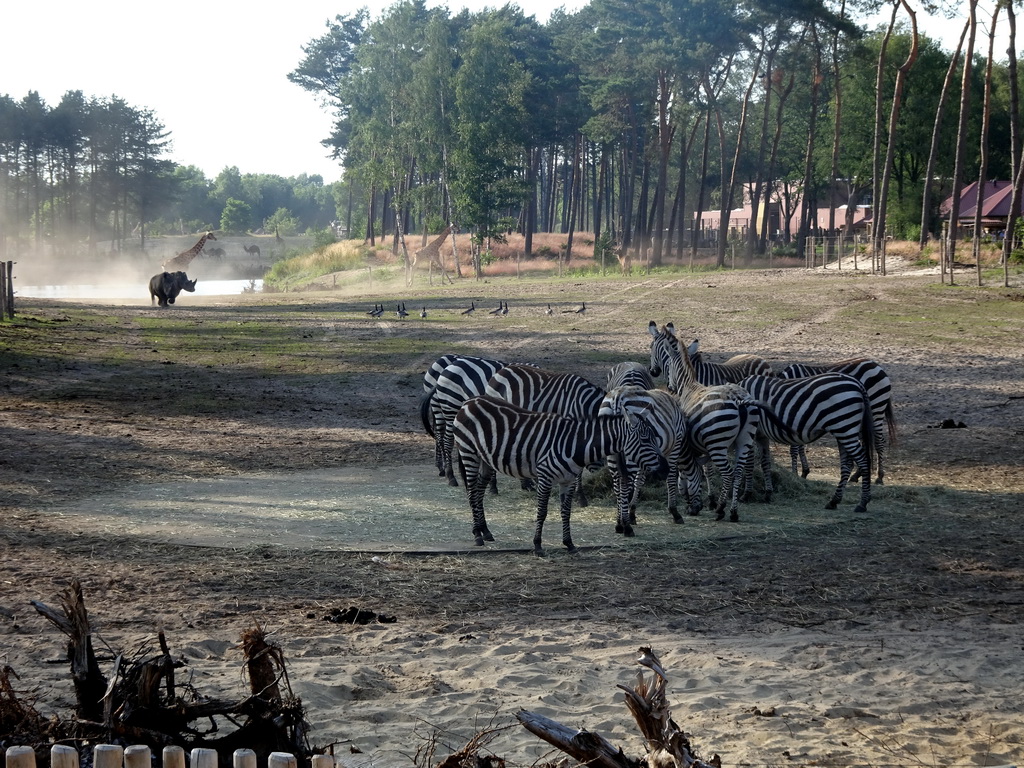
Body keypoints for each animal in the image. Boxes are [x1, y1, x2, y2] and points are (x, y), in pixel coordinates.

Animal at [452, 397, 667, 552]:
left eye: (654, 437)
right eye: (645, 439)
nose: (665, 468)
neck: (574, 445)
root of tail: (469, 401)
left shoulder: (568, 481)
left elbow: (566, 512)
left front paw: (569, 543)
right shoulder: (545, 477)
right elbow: (542, 511)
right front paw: (537, 544)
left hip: (486, 459)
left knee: (479, 493)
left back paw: (485, 531)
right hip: (468, 452)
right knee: (471, 493)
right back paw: (477, 535)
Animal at [598, 385, 704, 536]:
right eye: (700, 481)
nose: (699, 508)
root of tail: (617, 396)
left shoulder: (645, 457)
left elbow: (639, 482)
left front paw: (632, 513)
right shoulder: (674, 446)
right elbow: (671, 478)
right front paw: (675, 512)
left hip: (613, 453)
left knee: (617, 484)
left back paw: (619, 524)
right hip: (631, 453)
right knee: (624, 484)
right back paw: (626, 527)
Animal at [647, 319, 761, 524]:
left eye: (651, 347)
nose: (653, 372)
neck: (688, 384)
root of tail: (738, 399)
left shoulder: (686, 443)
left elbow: (689, 471)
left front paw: (697, 501)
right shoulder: (698, 446)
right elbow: (700, 470)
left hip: (717, 443)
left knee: (728, 473)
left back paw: (721, 509)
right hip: (744, 440)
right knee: (739, 471)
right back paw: (734, 511)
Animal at [741, 374, 876, 518]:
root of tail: (857, 383)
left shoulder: (750, 432)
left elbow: (749, 464)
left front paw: (746, 495)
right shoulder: (761, 435)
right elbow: (765, 463)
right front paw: (768, 494)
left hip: (845, 427)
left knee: (863, 460)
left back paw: (863, 503)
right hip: (844, 430)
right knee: (847, 464)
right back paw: (834, 501)